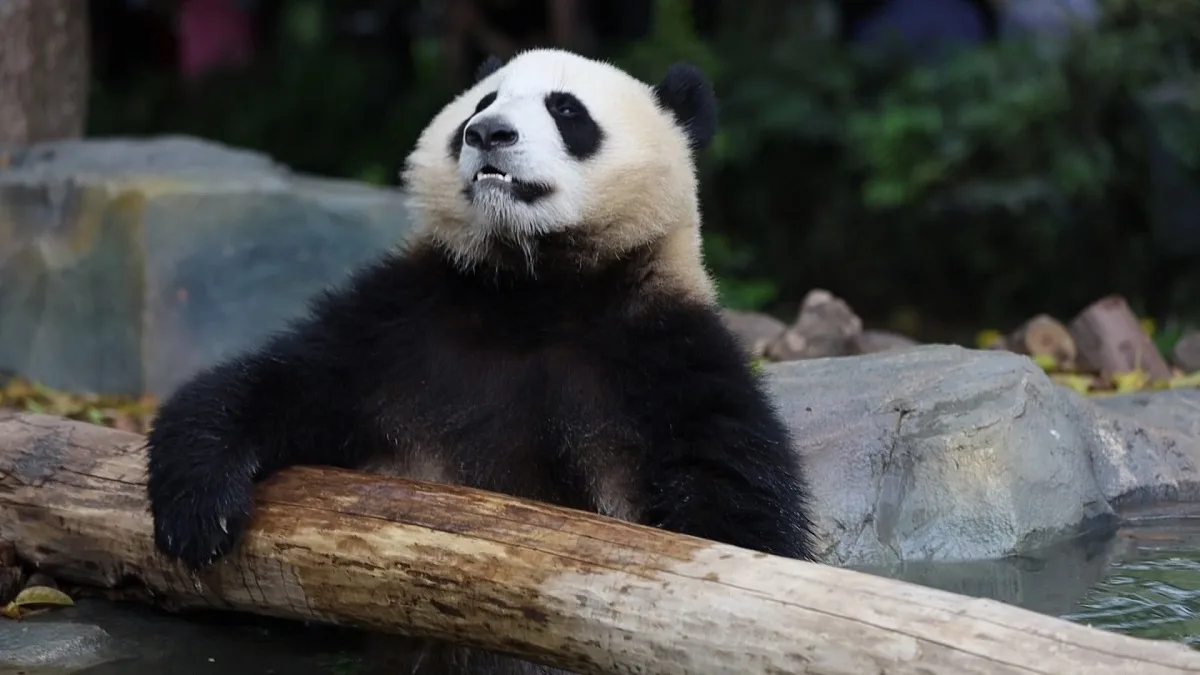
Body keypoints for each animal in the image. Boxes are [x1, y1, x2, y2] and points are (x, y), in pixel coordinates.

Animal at [145, 48, 816, 674]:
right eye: (481, 102)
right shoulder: (400, 323)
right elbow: (283, 382)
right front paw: (200, 510)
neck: (534, 286)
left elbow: (733, 495)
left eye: (567, 111)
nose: (488, 133)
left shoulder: (667, 355)